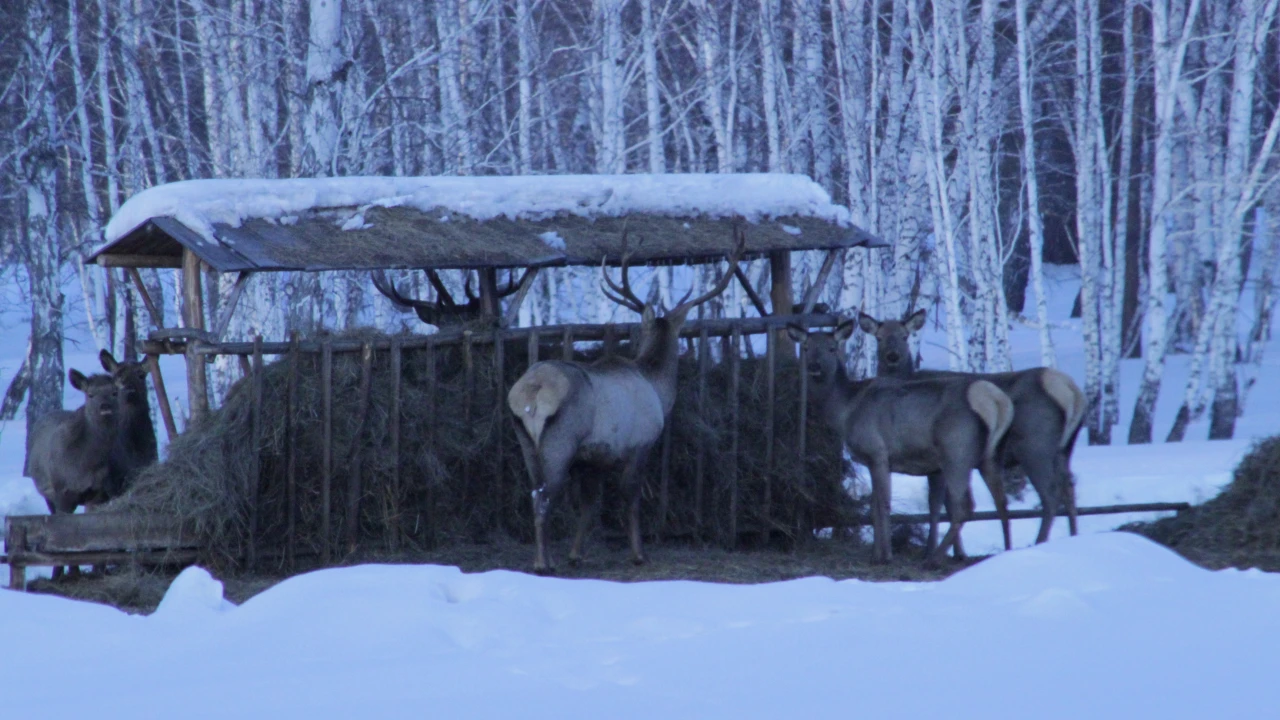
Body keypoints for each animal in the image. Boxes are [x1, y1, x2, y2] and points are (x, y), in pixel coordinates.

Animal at [23, 368, 120, 576]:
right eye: (90, 394)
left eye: (115, 392)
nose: (105, 406)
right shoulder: (62, 491)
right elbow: (63, 534)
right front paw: (69, 572)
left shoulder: (99, 493)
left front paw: (98, 570)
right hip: (48, 494)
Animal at [506, 229, 747, 571]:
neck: (658, 389)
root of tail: (533, 390)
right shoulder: (640, 444)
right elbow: (631, 497)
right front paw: (639, 554)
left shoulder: (591, 458)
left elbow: (590, 505)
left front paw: (577, 554)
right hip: (559, 441)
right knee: (543, 498)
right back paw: (543, 563)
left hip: (526, 440)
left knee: (534, 493)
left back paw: (548, 558)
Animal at [783, 317, 1013, 561]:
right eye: (805, 348)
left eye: (832, 348)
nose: (814, 367)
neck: (845, 411)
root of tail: (995, 400)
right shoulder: (872, 460)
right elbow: (873, 506)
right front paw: (876, 553)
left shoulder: (877, 451)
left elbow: (883, 504)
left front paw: (885, 556)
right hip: (991, 454)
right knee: (1001, 501)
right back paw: (1007, 551)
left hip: (956, 449)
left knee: (964, 507)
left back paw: (934, 558)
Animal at [855, 304, 1085, 545]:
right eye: (879, 337)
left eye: (905, 336)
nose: (892, 356)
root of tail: (1070, 390)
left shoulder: (939, 461)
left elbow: (940, 504)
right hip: (1063, 449)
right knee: (1069, 487)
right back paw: (1072, 535)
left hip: (1035, 444)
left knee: (1051, 493)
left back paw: (1040, 540)